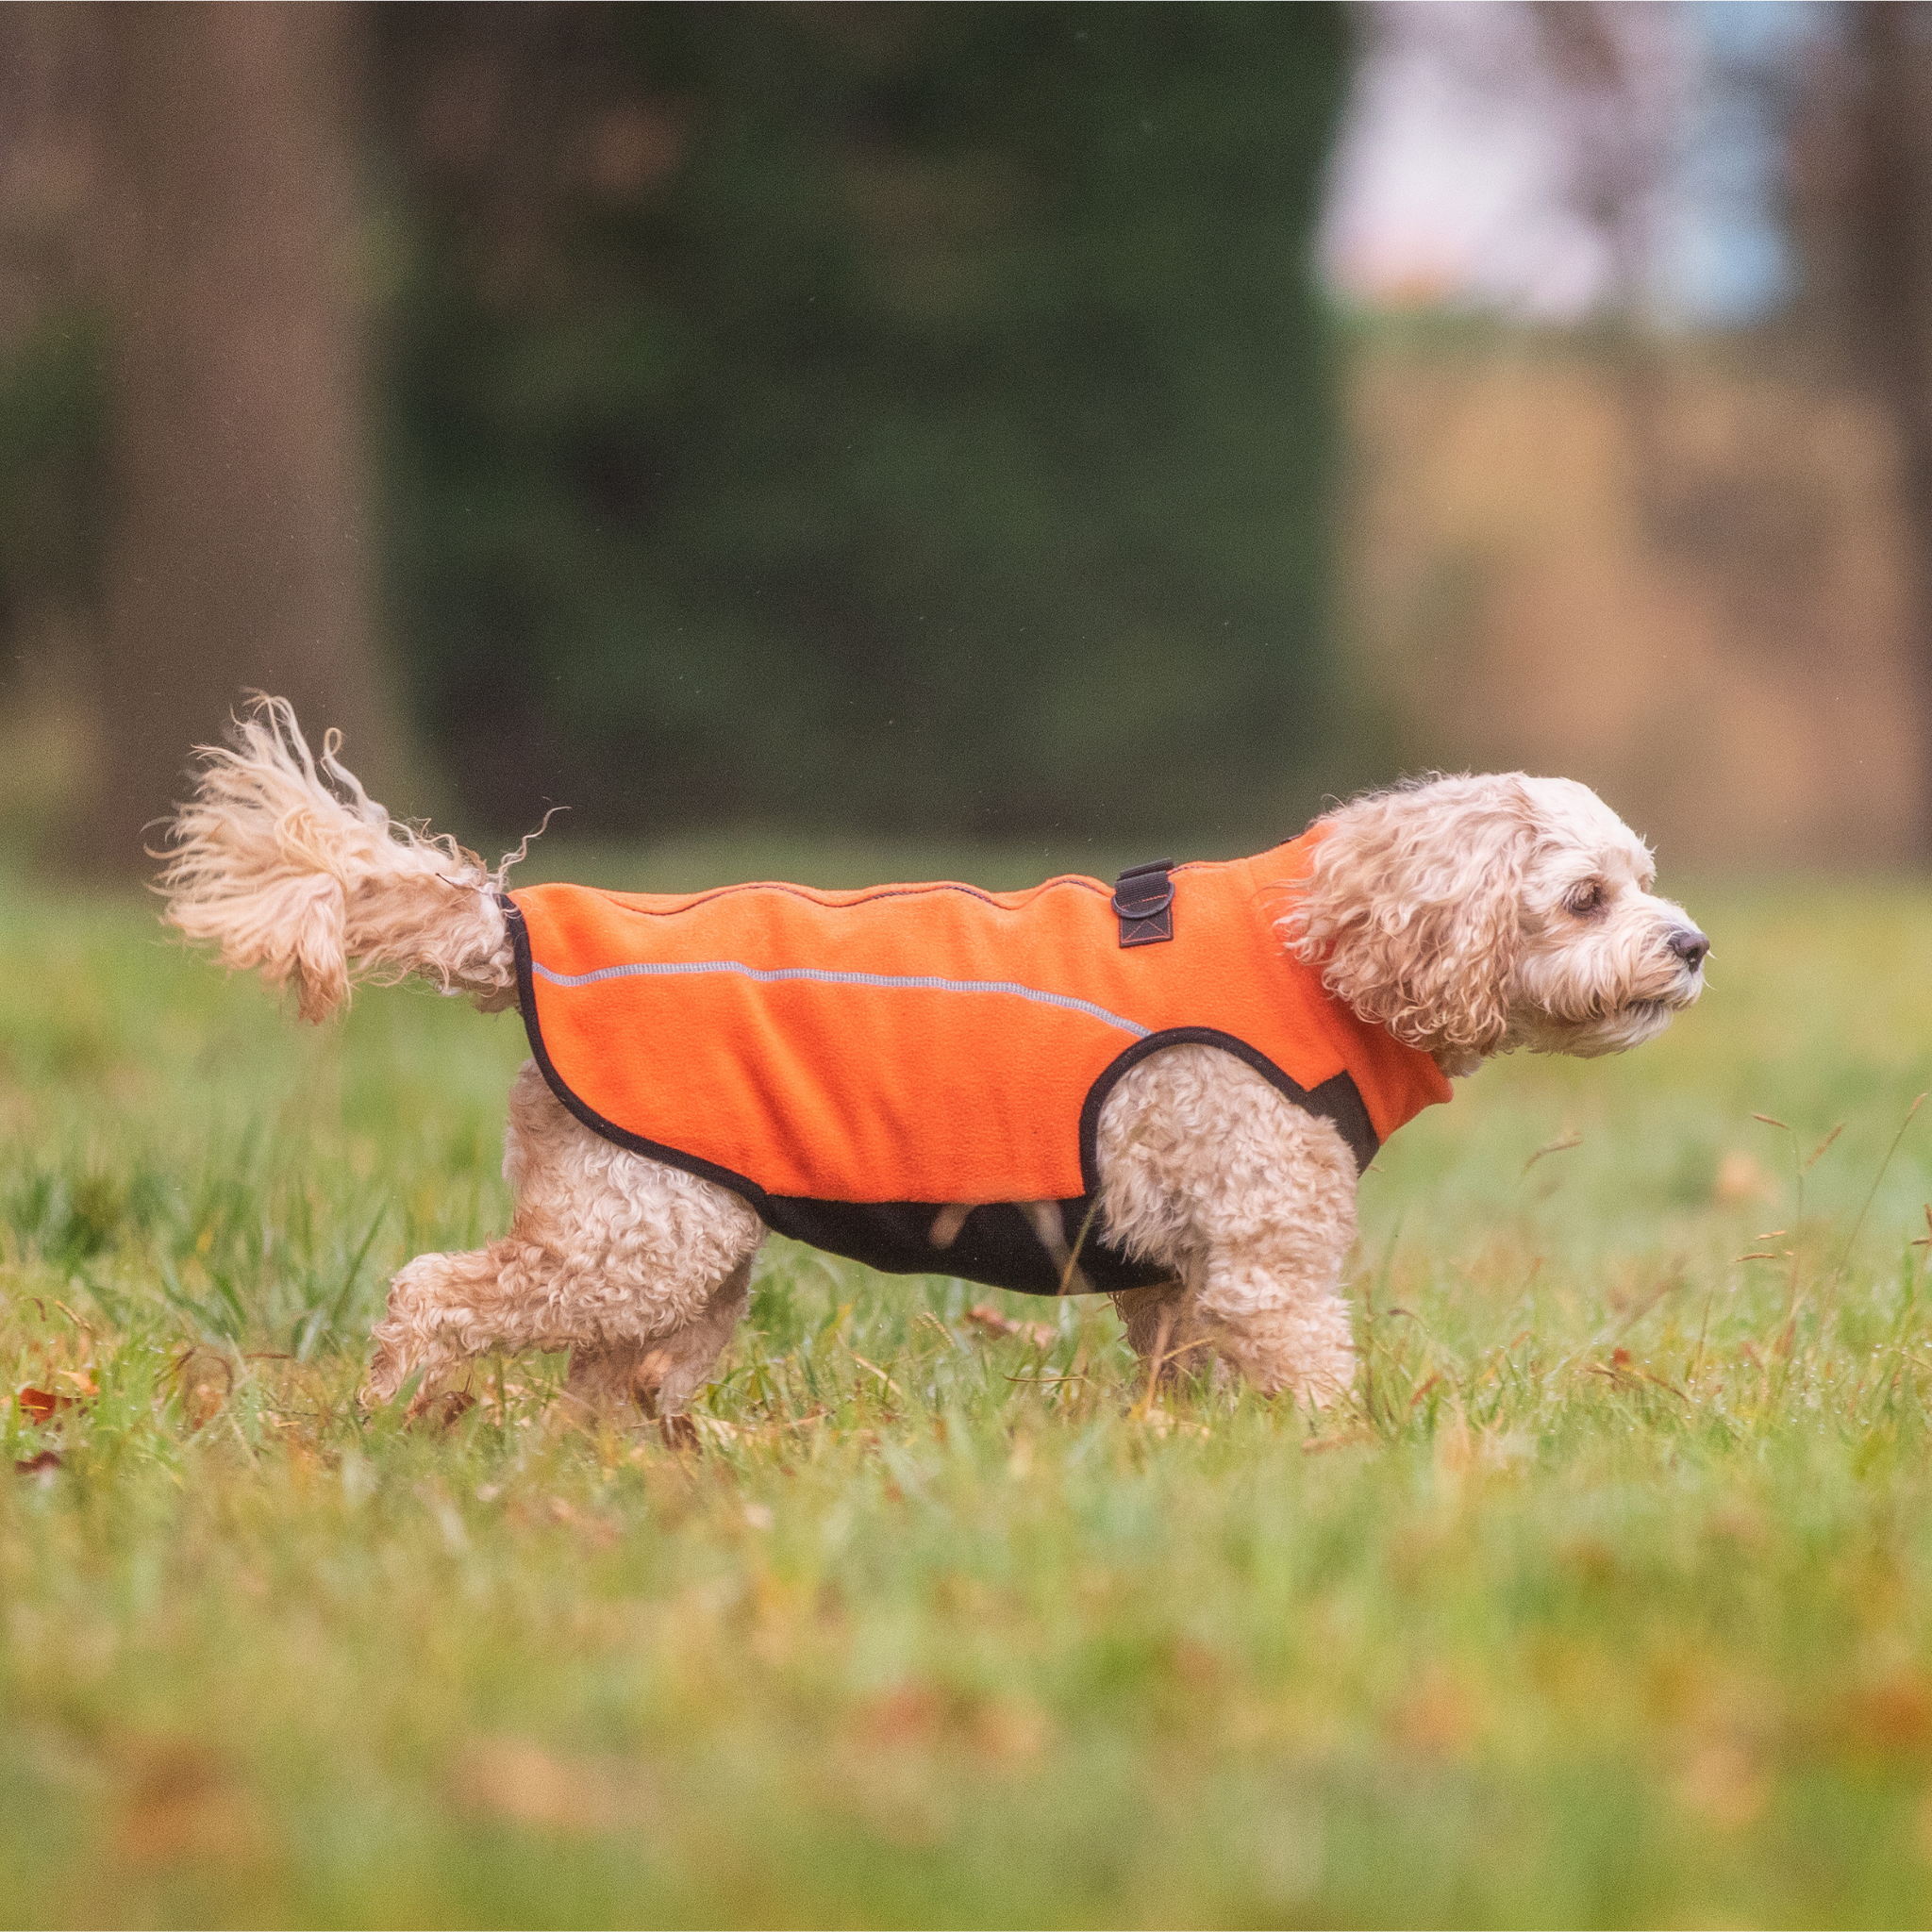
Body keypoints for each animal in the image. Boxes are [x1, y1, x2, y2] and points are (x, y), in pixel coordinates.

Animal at [162, 707, 1707, 1422]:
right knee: (432, 1293)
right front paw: (1343, 1463)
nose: (1692, 945)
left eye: (1645, 877)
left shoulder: (1178, 1275)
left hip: (676, 1245)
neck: (1322, 945)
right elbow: (1311, 1366)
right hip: (634, 1235)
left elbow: (1185, 1376)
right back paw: (398, 1418)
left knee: (603, 1379)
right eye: (1585, 898)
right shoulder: (1264, 1250)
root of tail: (511, 927)